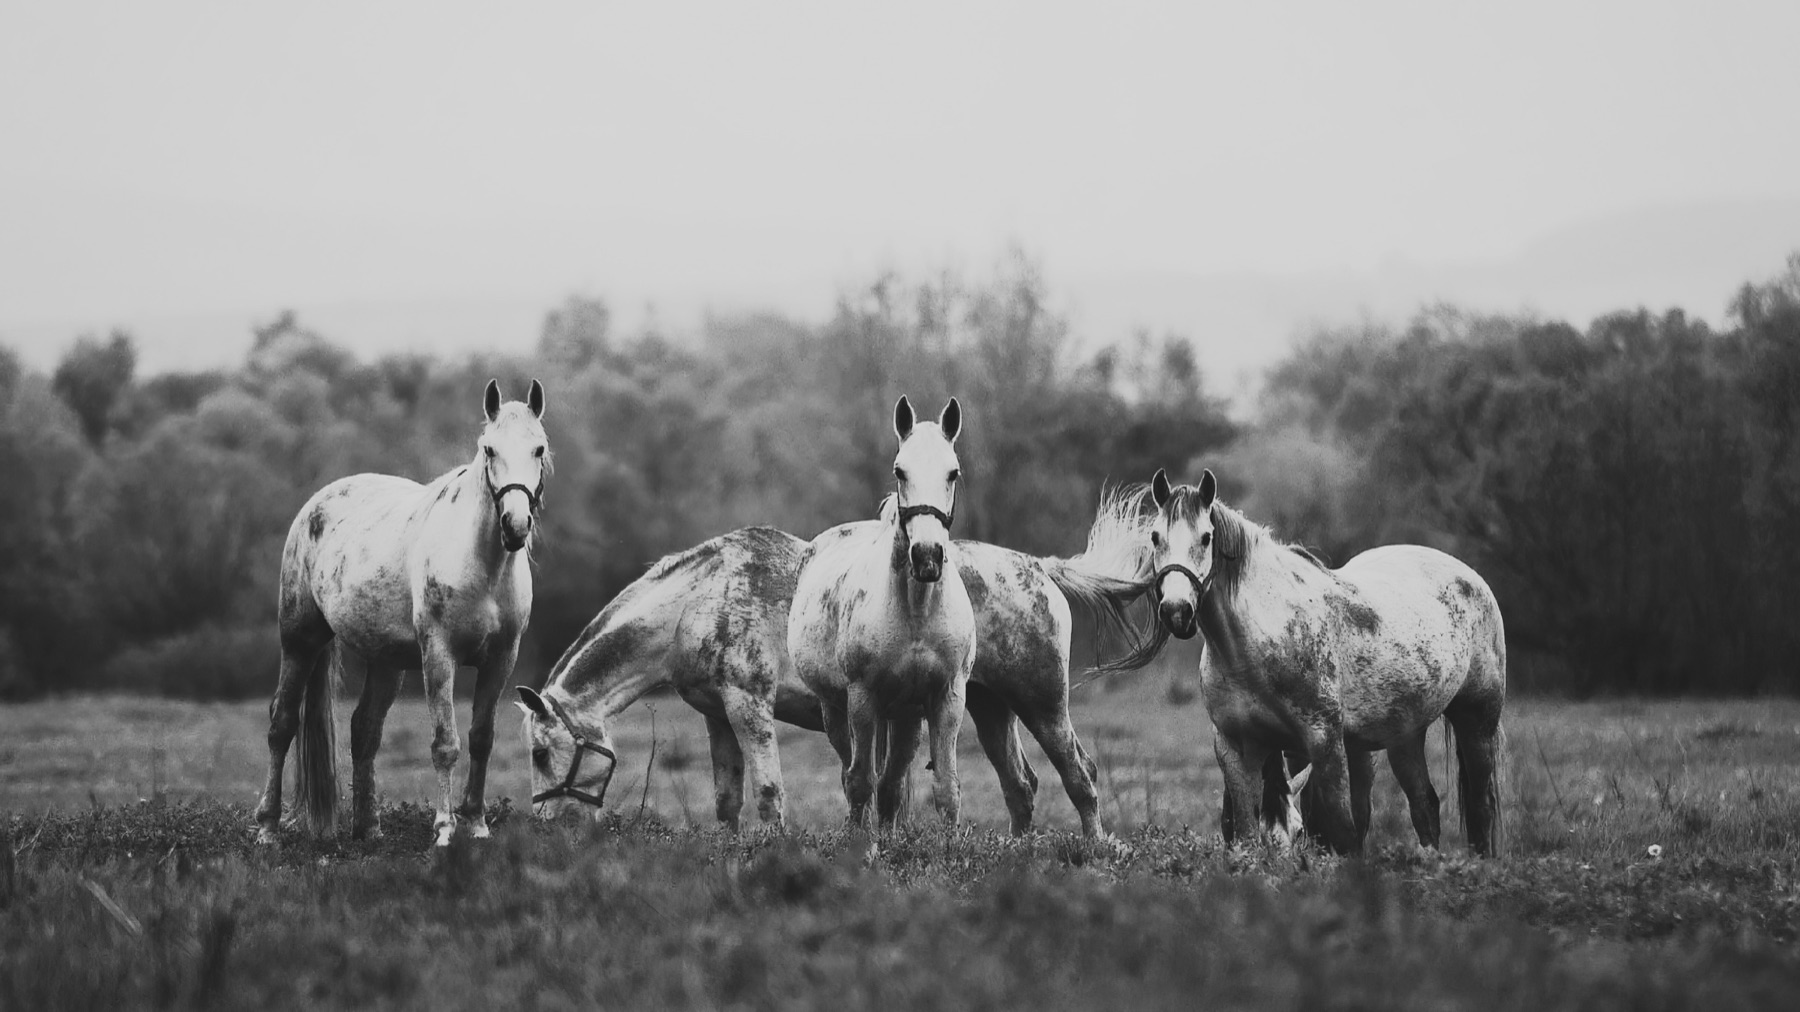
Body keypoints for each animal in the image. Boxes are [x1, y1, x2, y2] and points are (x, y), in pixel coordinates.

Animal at [255, 379, 550, 848]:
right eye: (489, 449)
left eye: (538, 448)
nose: (515, 524)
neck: (482, 565)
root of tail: (315, 505)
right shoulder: (439, 656)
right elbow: (445, 743)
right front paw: (445, 829)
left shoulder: (502, 659)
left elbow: (481, 738)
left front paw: (476, 823)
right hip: (299, 640)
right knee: (281, 722)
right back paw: (267, 827)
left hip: (386, 662)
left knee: (364, 730)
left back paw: (368, 828)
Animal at [517, 508, 1145, 837]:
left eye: (541, 753)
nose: (545, 824)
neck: (696, 601)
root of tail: (1039, 567)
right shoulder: (718, 717)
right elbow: (727, 800)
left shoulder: (749, 706)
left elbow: (769, 791)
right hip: (990, 710)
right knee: (1021, 786)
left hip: (1042, 705)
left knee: (1080, 774)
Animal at [1106, 467, 1507, 856]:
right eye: (1155, 537)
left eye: (1206, 537)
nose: (1176, 611)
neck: (1253, 644)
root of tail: (1471, 578)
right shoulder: (1238, 749)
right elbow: (1248, 835)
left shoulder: (1324, 742)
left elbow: (1341, 831)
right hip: (1405, 736)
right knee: (1425, 806)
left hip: (1476, 721)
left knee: (1481, 807)